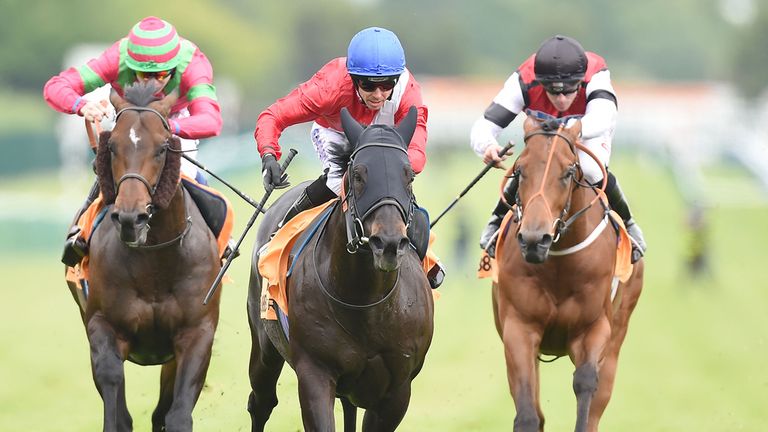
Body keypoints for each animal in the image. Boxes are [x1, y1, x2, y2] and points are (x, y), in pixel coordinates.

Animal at [68, 82, 224, 432]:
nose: (131, 218)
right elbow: (116, 404)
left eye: (163, 148)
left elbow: (176, 414)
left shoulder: (197, 333)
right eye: (112, 147)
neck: (155, 264)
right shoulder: (102, 324)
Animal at [248, 106, 436, 430]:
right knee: (261, 403)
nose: (388, 243)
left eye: (409, 175)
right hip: (264, 348)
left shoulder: (397, 388)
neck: (365, 302)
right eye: (358, 175)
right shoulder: (315, 373)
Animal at [492, 116, 640, 430]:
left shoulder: (595, 328)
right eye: (520, 171)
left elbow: (585, 383)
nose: (534, 239)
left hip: (617, 337)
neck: (558, 265)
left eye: (568, 172)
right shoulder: (519, 328)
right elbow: (528, 412)